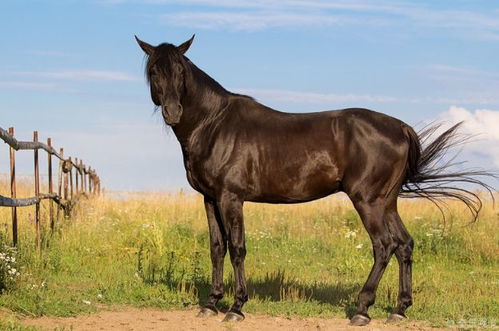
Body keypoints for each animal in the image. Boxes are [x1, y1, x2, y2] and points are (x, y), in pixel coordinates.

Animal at [135, 35, 494, 326]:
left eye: (181, 71)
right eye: (154, 71)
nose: (173, 112)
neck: (214, 124)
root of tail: (401, 128)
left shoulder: (231, 197)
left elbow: (237, 248)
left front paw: (236, 307)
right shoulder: (210, 198)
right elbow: (217, 247)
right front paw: (211, 303)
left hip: (368, 201)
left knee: (384, 246)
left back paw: (362, 309)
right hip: (387, 202)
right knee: (404, 244)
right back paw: (399, 309)